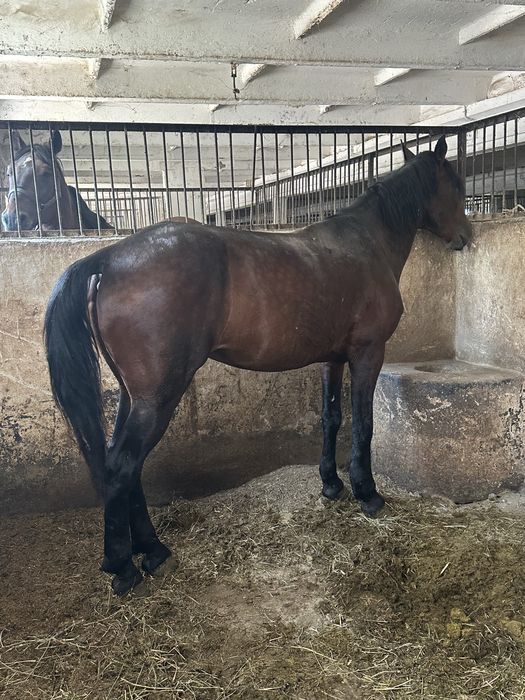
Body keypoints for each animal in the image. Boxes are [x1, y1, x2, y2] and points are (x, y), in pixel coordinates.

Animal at [44, 136, 472, 596]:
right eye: (456, 185)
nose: (466, 237)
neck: (365, 244)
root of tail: (107, 260)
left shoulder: (332, 359)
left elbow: (332, 418)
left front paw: (331, 484)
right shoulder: (367, 353)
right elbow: (363, 424)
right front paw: (367, 493)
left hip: (135, 395)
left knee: (123, 464)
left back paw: (153, 552)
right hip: (158, 398)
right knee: (123, 465)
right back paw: (124, 566)